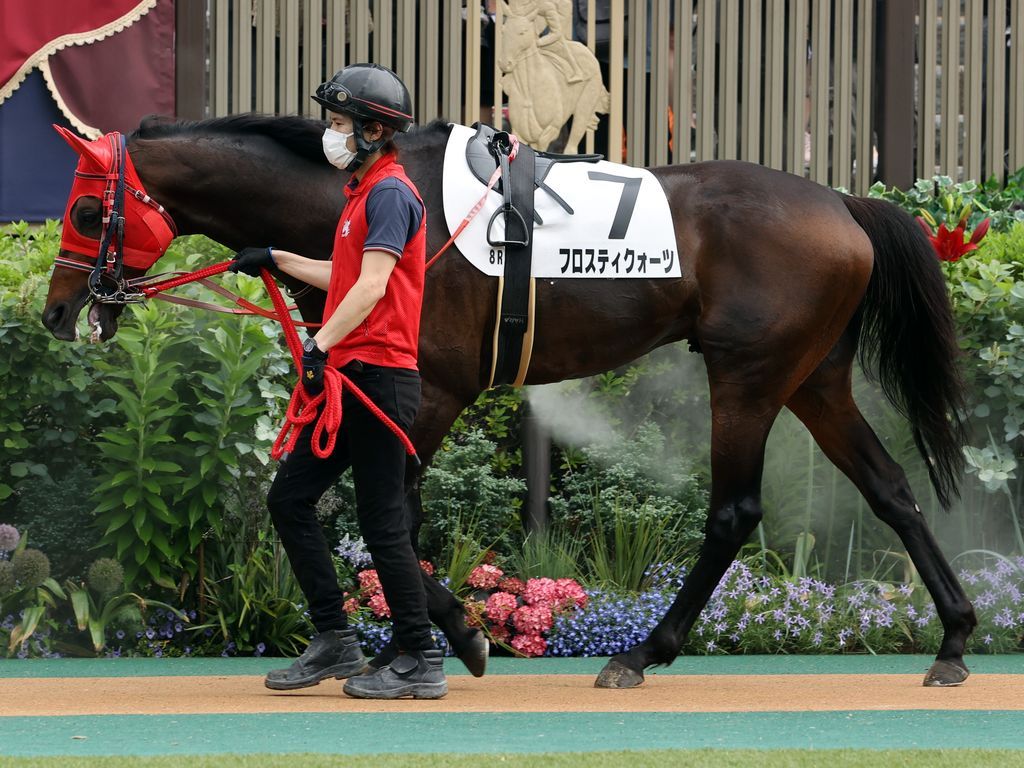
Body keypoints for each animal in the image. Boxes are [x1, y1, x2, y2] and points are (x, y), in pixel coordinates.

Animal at [42, 114, 977, 689]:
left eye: (87, 209)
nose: (57, 310)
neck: (355, 199)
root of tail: (844, 202)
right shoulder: (383, 397)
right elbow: (370, 515)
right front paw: (406, 642)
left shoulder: (431, 395)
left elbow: (390, 517)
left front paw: (455, 637)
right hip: (813, 377)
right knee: (891, 490)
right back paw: (955, 636)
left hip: (748, 375)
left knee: (734, 511)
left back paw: (642, 652)